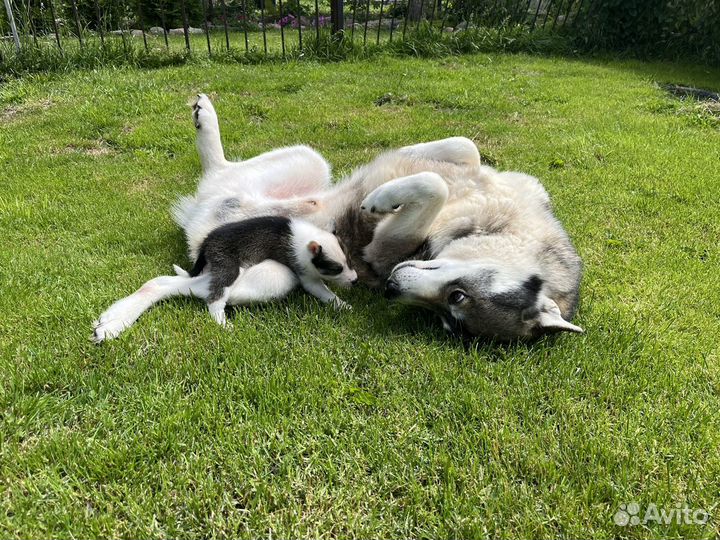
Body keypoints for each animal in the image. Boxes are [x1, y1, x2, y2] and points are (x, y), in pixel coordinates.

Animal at [93, 94, 584, 342]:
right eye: (457, 297)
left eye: (450, 309)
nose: (389, 288)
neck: (498, 221)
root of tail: (200, 218)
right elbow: (462, 149)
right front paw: (387, 188)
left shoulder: (382, 249)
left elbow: (433, 186)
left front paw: (380, 202)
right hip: (306, 160)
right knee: (219, 166)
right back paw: (204, 116)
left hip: (264, 275)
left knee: (182, 287)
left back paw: (114, 321)